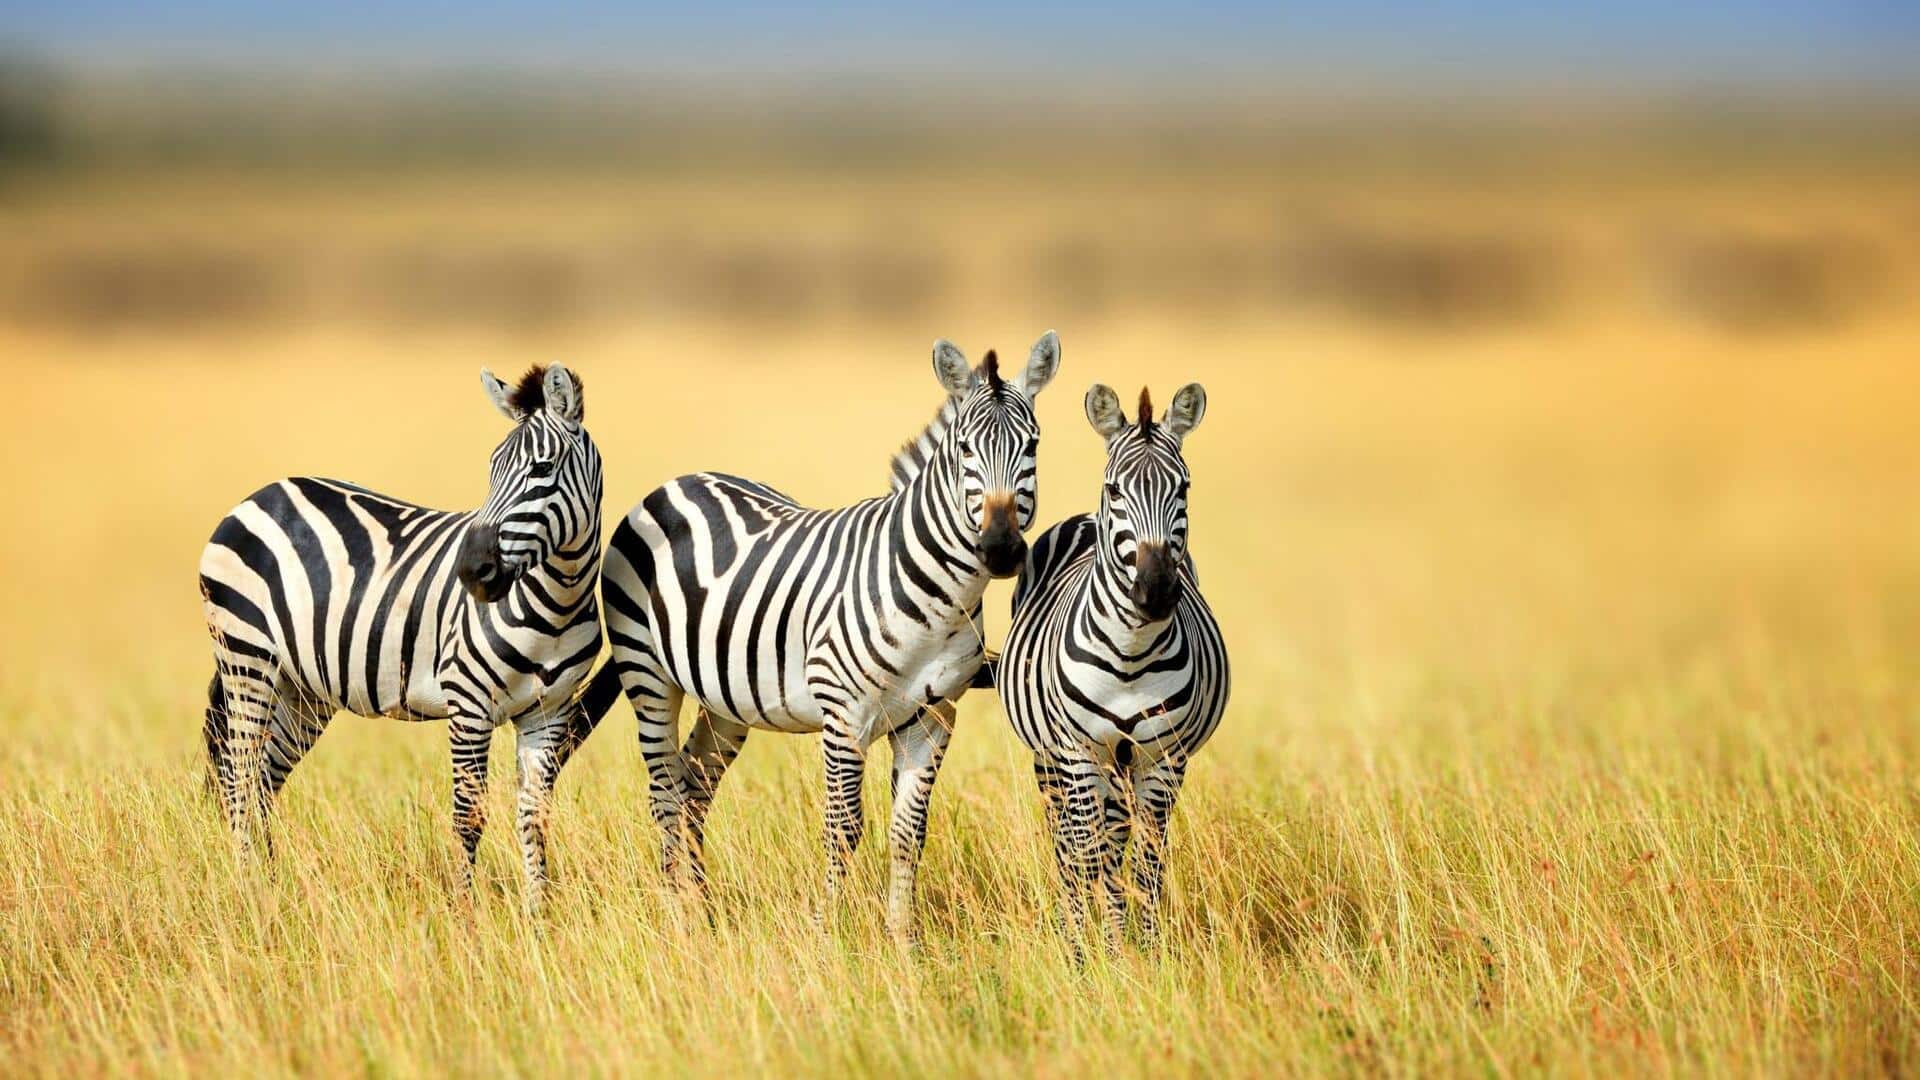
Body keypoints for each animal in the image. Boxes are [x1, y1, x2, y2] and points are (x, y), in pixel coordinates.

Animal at [198, 363, 604, 913]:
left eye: (542, 469)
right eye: (491, 468)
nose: (473, 572)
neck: (557, 601)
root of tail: (261, 495)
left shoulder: (549, 712)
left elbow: (534, 818)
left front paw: (537, 917)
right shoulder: (468, 703)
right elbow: (468, 817)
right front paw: (464, 915)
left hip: (301, 690)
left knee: (261, 782)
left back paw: (272, 888)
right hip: (247, 661)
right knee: (238, 780)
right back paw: (248, 894)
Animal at [585, 332, 1059, 940]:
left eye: (1033, 445)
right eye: (963, 450)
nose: (1000, 549)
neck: (938, 597)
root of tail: (678, 481)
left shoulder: (932, 719)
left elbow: (909, 834)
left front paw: (902, 942)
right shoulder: (843, 715)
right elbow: (844, 827)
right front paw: (826, 933)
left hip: (726, 698)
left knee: (693, 786)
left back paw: (704, 912)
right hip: (648, 676)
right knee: (665, 793)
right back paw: (678, 918)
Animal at [995, 381, 1228, 943]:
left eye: (1184, 488)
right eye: (1116, 490)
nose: (1156, 592)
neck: (1130, 653)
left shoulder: (1164, 758)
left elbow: (1145, 863)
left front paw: (1143, 948)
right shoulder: (1078, 753)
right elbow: (1088, 855)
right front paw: (1088, 950)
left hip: (1123, 764)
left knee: (1119, 842)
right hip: (1053, 760)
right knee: (1068, 843)